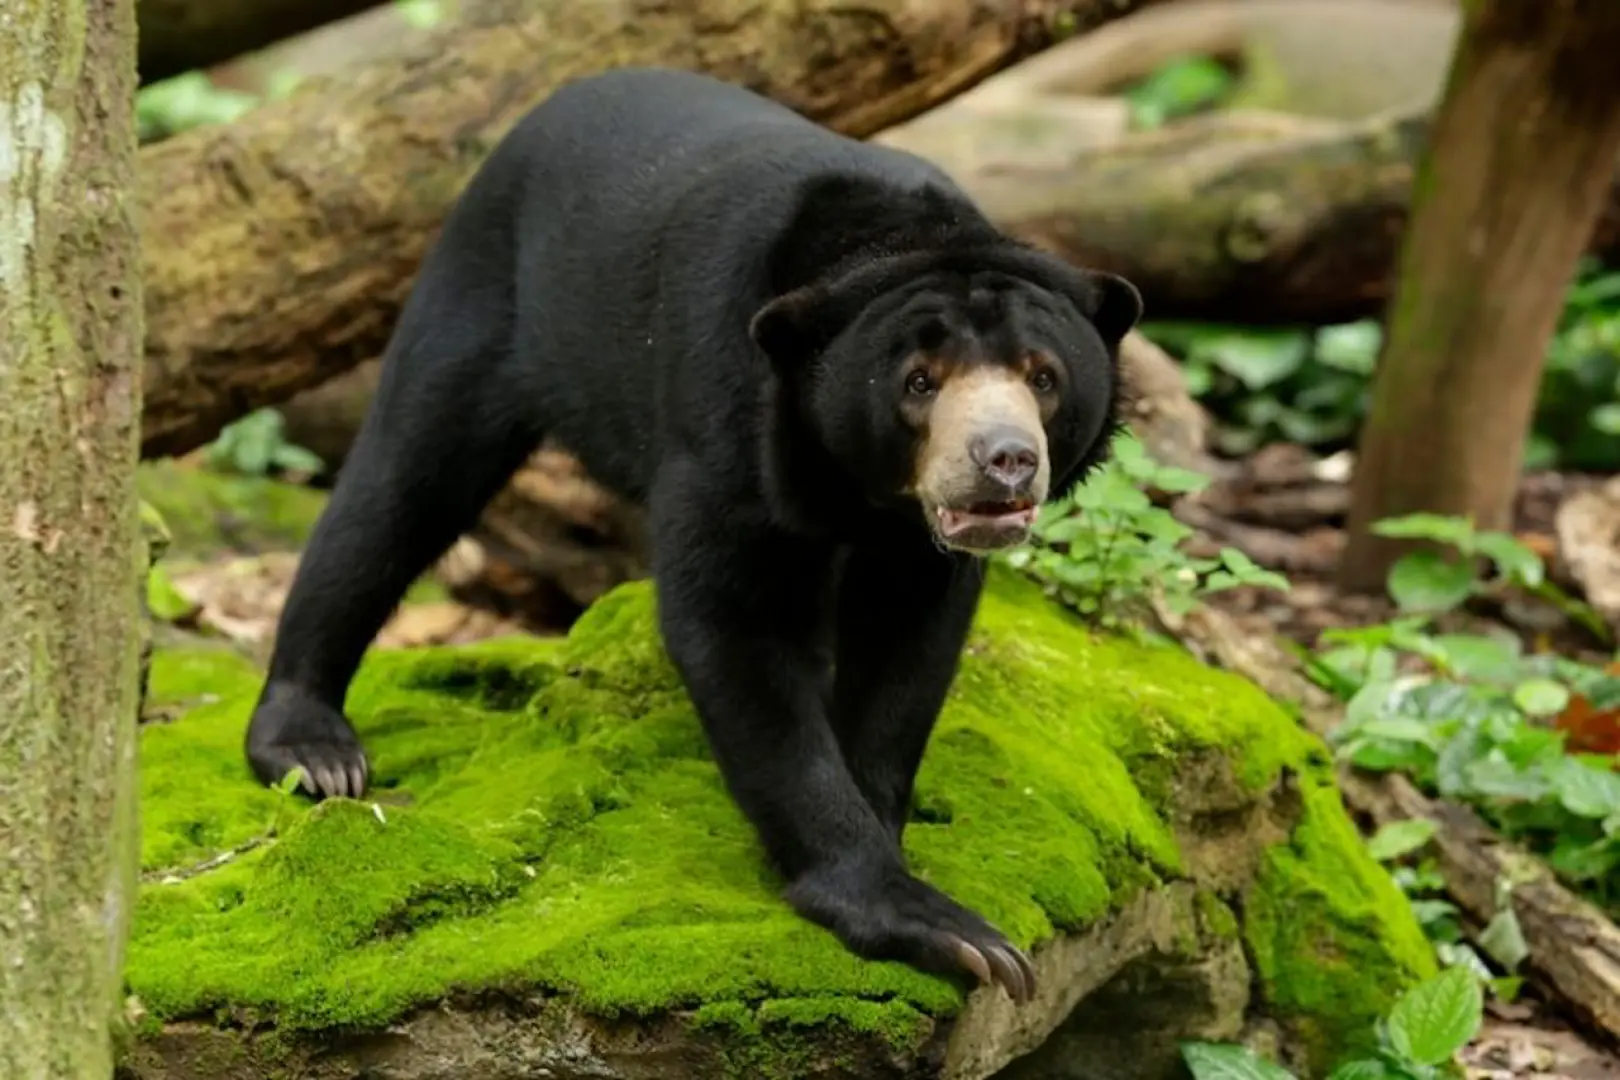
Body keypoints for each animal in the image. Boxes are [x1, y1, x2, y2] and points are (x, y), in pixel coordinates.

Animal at [244, 66, 1142, 1002]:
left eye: (1044, 376)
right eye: (919, 382)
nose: (1004, 463)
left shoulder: (909, 543)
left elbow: (906, 644)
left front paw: (883, 816)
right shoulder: (727, 413)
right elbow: (732, 629)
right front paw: (937, 926)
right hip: (485, 296)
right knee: (399, 489)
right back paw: (316, 752)